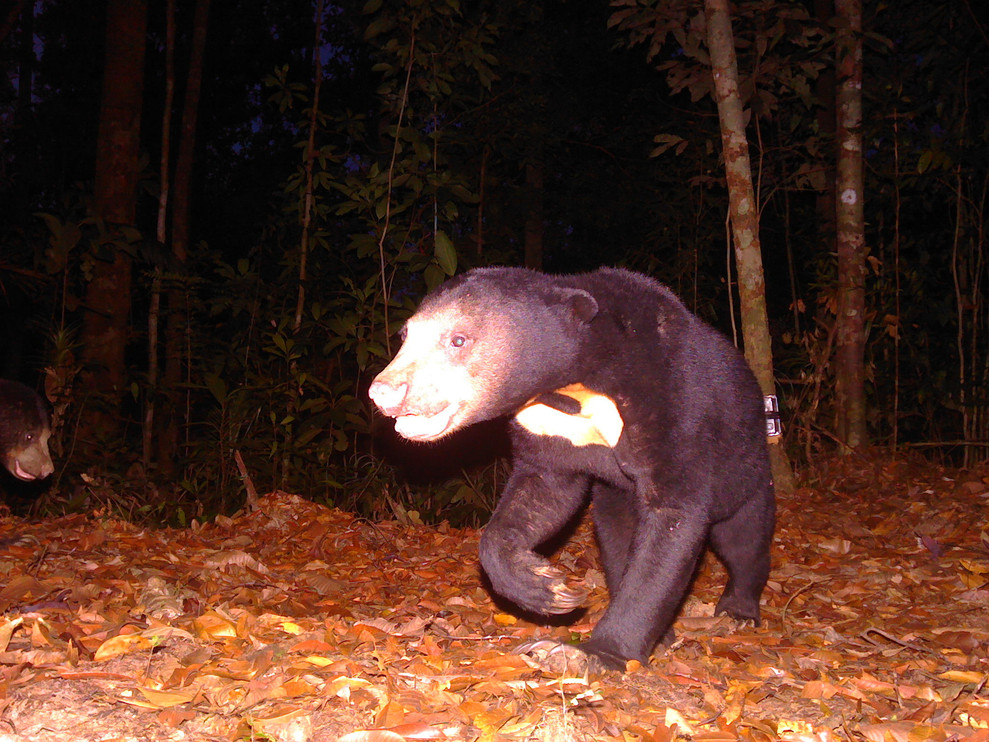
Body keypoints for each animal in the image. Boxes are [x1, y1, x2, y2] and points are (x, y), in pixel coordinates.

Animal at [368, 267, 775, 670]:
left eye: (457, 339)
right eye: (405, 336)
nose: (385, 392)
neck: (575, 386)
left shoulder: (674, 402)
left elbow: (672, 520)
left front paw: (599, 652)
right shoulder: (547, 426)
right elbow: (542, 492)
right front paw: (547, 587)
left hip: (747, 470)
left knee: (743, 538)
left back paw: (738, 610)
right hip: (616, 498)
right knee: (617, 540)